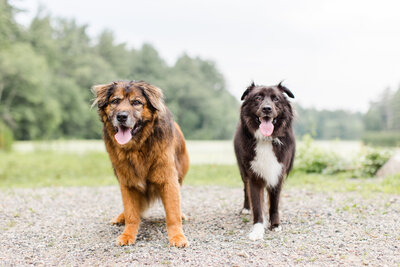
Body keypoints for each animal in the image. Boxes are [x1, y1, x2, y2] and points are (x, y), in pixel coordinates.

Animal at [92, 80, 189, 248]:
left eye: (136, 102)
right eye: (115, 101)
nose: (121, 116)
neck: (137, 147)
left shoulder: (168, 179)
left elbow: (172, 213)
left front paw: (177, 236)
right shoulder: (127, 182)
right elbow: (131, 213)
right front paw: (127, 234)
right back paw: (121, 217)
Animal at [234, 81, 294, 241]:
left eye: (276, 99)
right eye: (258, 98)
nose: (267, 109)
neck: (266, 139)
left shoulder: (277, 174)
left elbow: (274, 204)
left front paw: (275, 225)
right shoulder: (254, 176)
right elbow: (257, 205)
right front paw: (258, 229)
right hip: (243, 171)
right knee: (245, 189)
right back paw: (246, 208)